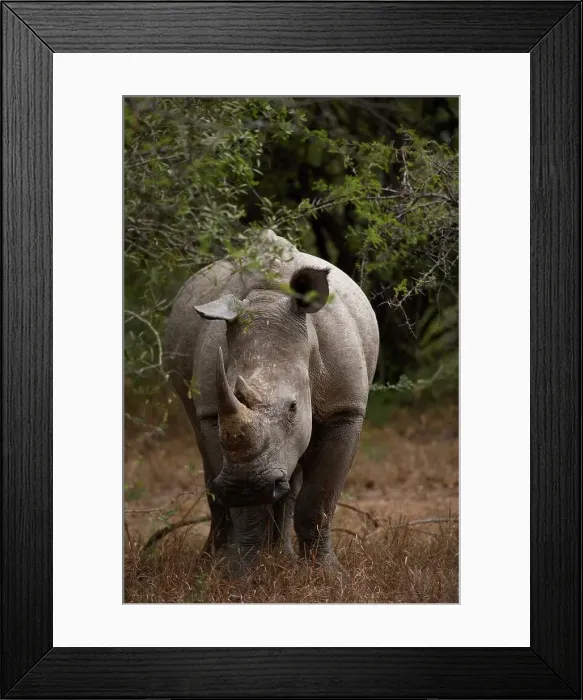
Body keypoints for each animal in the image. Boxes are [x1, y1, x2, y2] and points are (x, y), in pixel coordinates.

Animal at [163, 230, 379, 573]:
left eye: (293, 407)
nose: (247, 485)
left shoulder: (345, 410)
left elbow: (318, 500)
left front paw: (327, 575)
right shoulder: (211, 413)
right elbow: (246, 508)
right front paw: (240, 574)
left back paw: (282, 557)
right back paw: (215, 561)